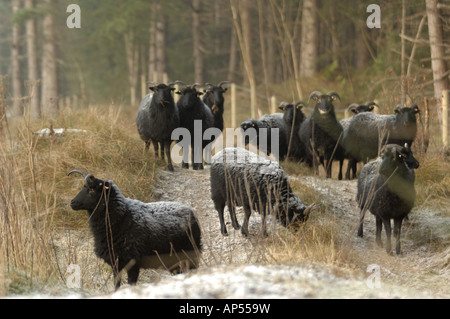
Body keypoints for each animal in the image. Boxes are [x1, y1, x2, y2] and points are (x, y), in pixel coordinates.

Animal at [67, 171, 201, 292]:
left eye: (92, 190)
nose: (72, 202)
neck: (122, 217)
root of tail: (190, 211)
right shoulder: (116, 263)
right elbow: (116, 285)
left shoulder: (133, 263)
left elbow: (131, 284)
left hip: (191, 255)